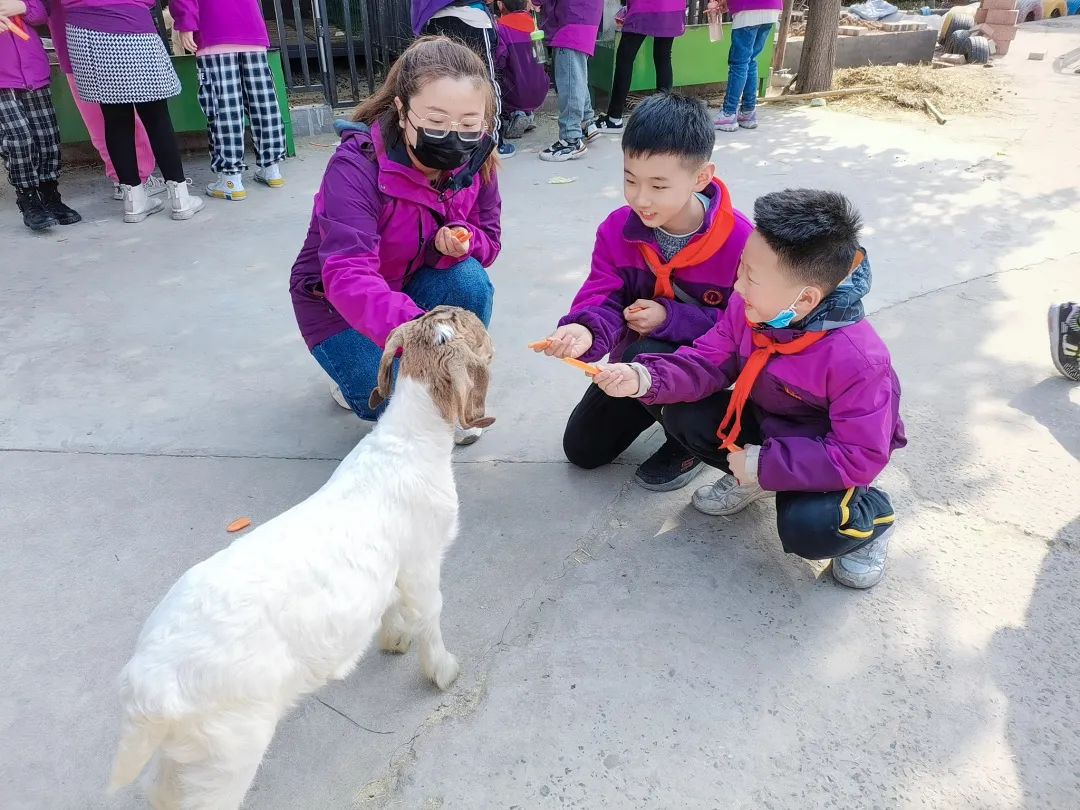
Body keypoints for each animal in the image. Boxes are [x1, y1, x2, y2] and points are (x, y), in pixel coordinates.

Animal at [107, 306, 494, 807]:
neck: (407, 441)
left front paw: (393, 640)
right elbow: (430, 615)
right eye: (468, 326)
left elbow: (391, 605)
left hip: (190, 750)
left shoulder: (390, 572)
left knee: (162, 789)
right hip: (229, 749)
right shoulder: (421, 564)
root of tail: (147, 688)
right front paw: (443, 672)